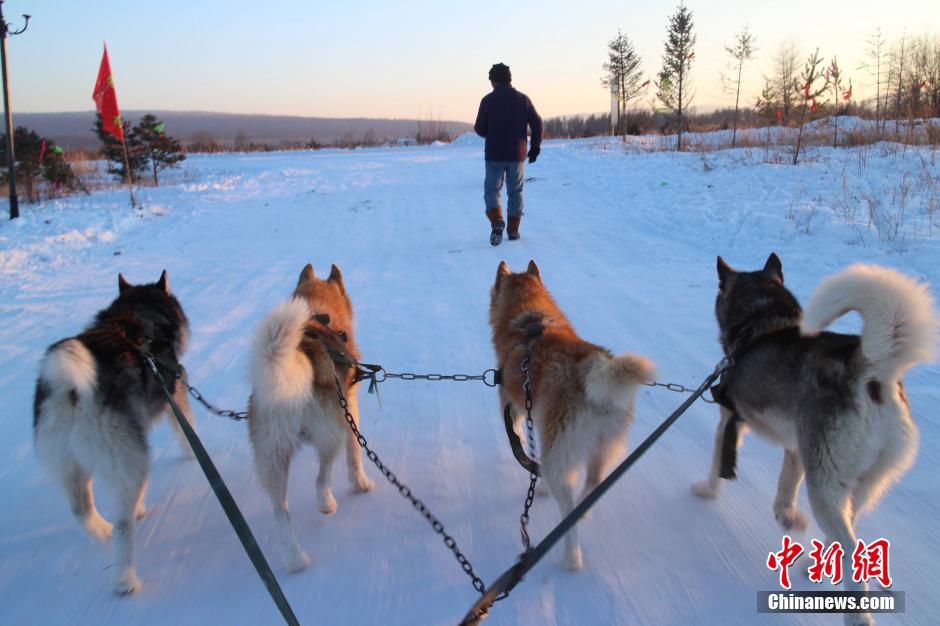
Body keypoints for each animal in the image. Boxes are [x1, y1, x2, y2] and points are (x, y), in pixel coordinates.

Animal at [34, 270, 195, 592]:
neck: (139, 313)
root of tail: (71, 392)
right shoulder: (175, 392)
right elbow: (187, 432)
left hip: (69, 465)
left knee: (81, 511)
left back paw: (102, 530)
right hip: (130, 457)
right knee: (124, 526)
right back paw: (125, 579)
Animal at [250, 264, 374, 572]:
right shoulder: (350, 411)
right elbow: (355, 455)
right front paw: (361, 484)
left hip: (272, 461)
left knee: (281, 514)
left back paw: (296, 561)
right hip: (330, 436)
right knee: (321, 478)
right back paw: (326, 504)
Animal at [492, 256, 652, 568]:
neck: (531, 321)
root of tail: (592, 371)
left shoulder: (517, 408)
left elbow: (520, 438)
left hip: (559, 453)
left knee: (565, 502)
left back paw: (571, 556)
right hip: (602, 446)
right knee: (592, 484)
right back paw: (583, 510)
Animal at [692, 254, 936, 624]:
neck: (761, 318)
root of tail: (872, 369)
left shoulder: (729, 423)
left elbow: (717, 467)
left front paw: (706, 492)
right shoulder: (796, 451)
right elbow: (783, 494)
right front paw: (787, 517)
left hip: (823, 485)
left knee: (851, 550)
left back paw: (857, 615)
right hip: (856, 485)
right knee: (849, 533)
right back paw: (815, 565)